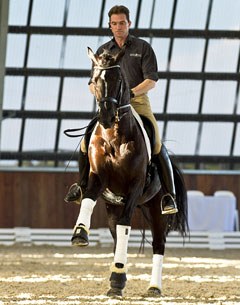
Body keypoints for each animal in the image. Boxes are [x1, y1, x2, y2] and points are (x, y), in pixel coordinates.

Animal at [72, 47, 188, 296]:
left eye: (118, 79)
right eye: (94, 80)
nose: (106, 117)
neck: (114, 136)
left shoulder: (134, 186)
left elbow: (126, 225)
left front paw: (117, 278)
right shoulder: (97, 179)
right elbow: (88, 200)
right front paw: (80, 234)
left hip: (155, 208)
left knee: (158, 244)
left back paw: (153, 287)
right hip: (113, 206)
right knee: (116, 235)